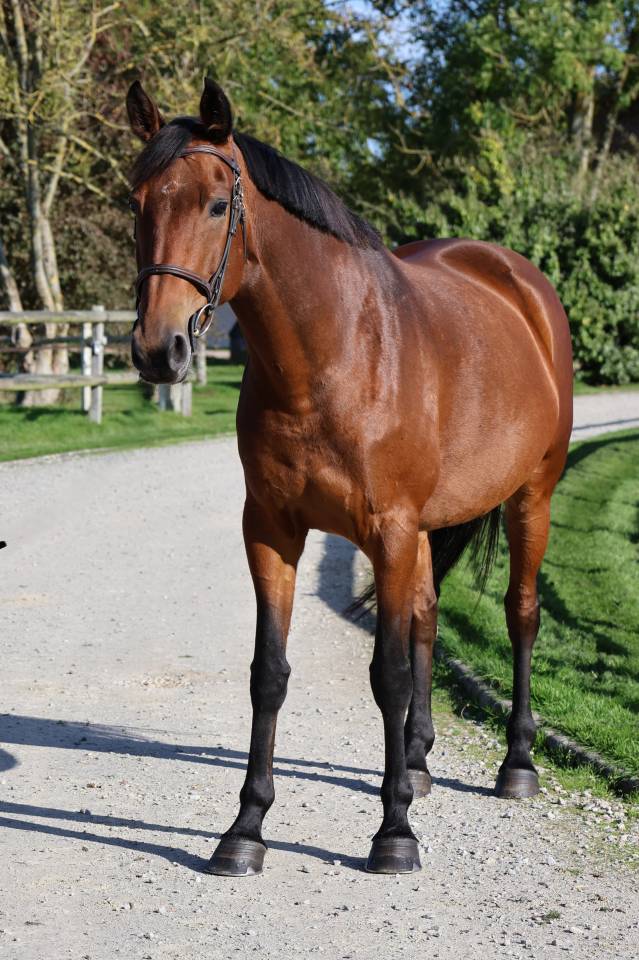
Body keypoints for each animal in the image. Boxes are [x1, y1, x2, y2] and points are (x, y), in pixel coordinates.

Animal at [126, 78, 573, 877]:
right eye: (136, 204)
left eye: (216, 205)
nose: (158, 349)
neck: (333, 354)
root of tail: (519, 280)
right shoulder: (272, 531)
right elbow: (268, 674)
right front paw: (244, 829)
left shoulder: (387, 531)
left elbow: (386, 675)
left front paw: (392, 834)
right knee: (427, 614)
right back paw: (417, 763)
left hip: (533, 497)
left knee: (521, 615)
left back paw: (515, 765)